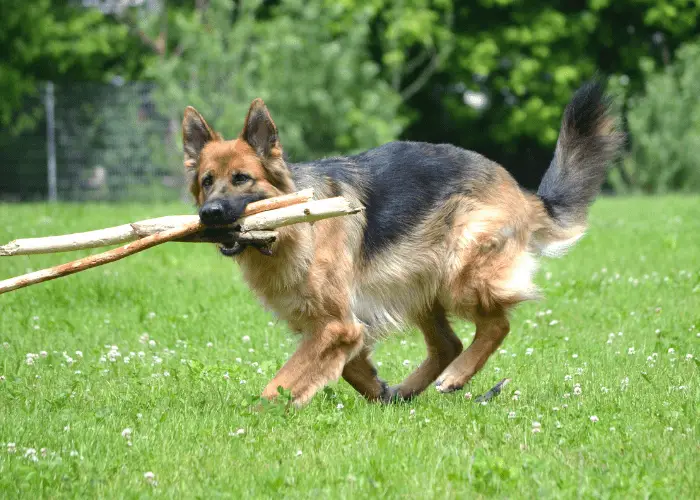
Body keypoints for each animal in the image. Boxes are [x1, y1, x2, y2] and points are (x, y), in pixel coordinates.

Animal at [182, 82, 624, 408]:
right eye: (207, 181)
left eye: (241, 179)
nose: (211, 214)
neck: (291, 230)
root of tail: (518, 187)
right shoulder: (333, 324)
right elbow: (346, 365)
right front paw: (378, 391)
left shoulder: (335, 324)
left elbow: (283, 379)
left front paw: (261, 412)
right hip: (416, 284)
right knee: (449, 343)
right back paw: (411, 390)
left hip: (459, 274)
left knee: (496, 325)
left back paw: (455, 377)